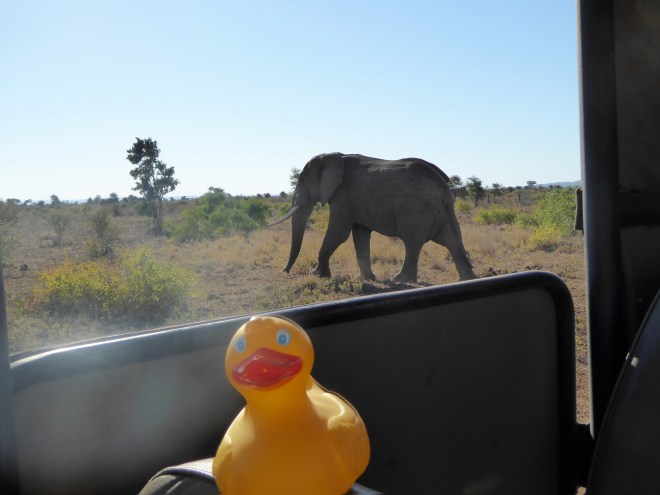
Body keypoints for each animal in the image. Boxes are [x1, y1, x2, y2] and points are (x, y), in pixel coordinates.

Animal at [271, 153, 476, 283]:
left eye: (302, 180)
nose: (285, 272)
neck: (333, 155)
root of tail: (444, 189)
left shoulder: (343, 196)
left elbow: (338, 233)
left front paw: (317, 275)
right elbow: (360, 235)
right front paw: (368, 279)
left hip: (416, 209)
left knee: (412, 242)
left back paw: (400, 280)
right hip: (444, 212)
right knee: (452, 240)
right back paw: (466, 279)